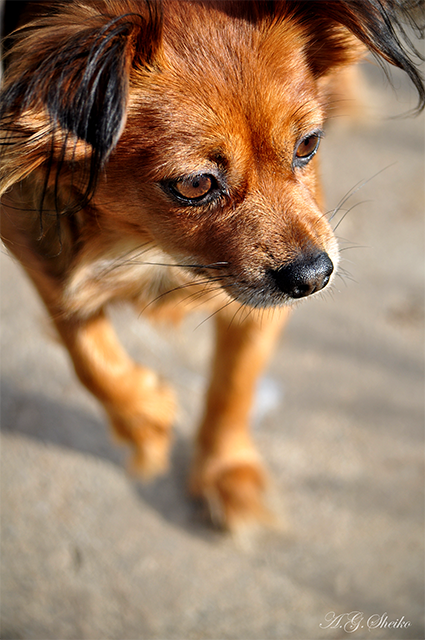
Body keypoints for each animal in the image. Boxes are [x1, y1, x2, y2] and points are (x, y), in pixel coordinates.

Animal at [0, 0, 422, 528]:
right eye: (195, 184)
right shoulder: (35, 241)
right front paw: (144, 419)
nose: (314, 277)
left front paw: (225, 470)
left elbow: (234, 382)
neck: (148, 244)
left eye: (308, 145)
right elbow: (86, 347)